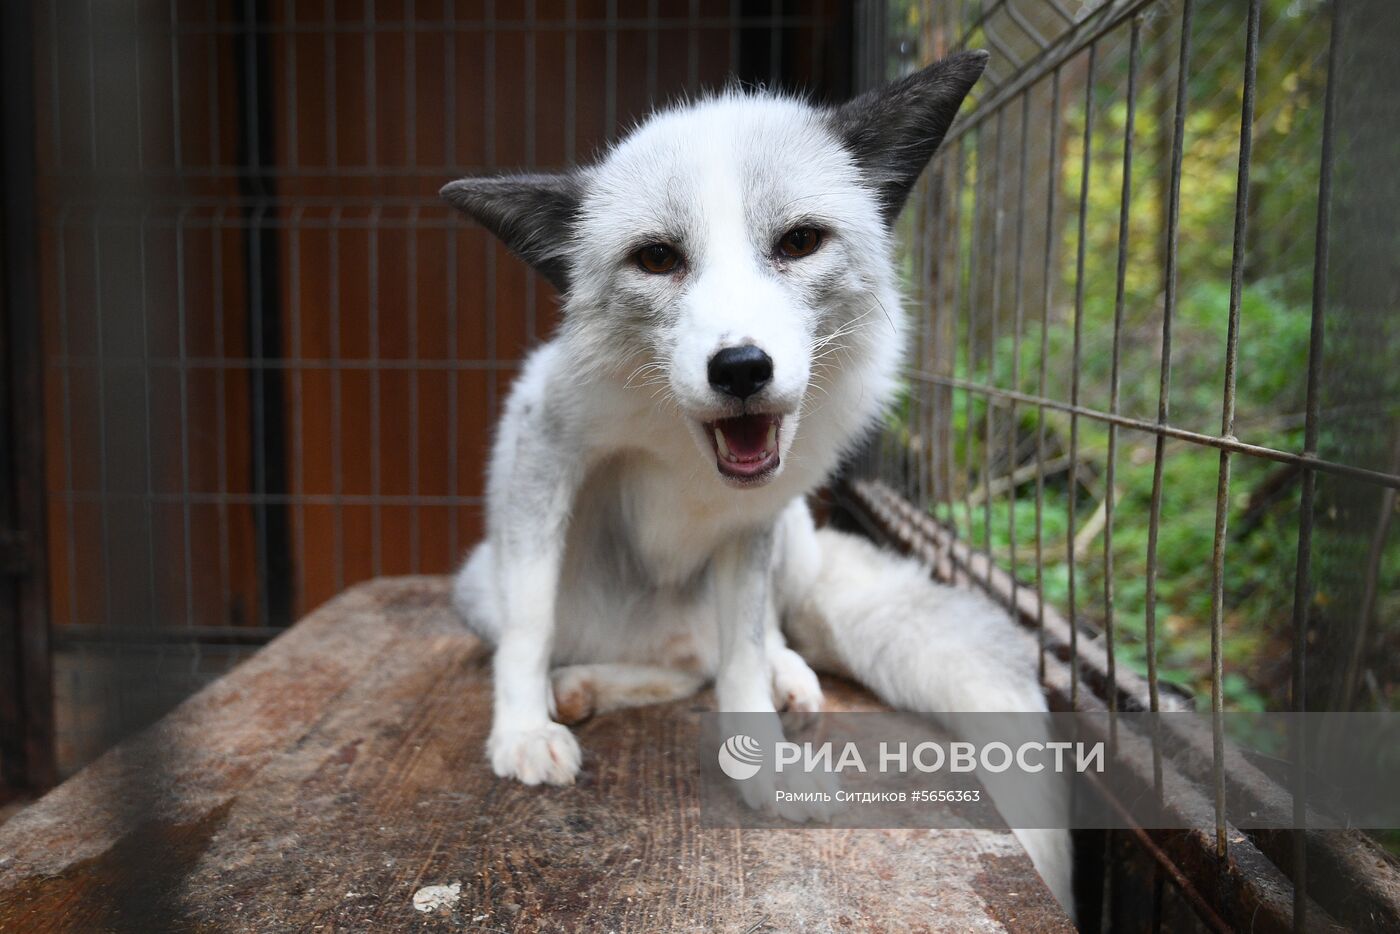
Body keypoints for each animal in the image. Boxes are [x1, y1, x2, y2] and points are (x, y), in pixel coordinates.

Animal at [445, 52, 1069, 918]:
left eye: (799, 242)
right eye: (657, 258)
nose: (740, 368)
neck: (685, 449)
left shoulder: (755, 522)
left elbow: (740, 656)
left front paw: (763, 764)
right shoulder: (544, 450)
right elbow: (531, 626)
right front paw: (520, 730)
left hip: (795, 533)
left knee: (737, 645)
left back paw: (786, 676)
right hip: (479, 584)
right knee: (672, 663)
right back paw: (576, 688)